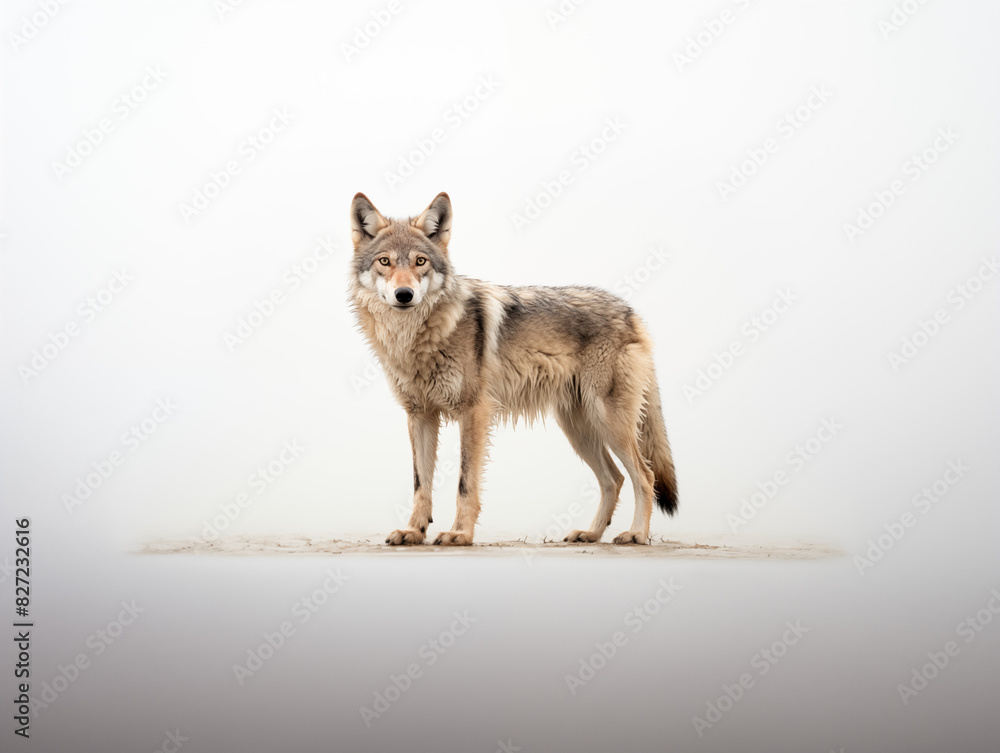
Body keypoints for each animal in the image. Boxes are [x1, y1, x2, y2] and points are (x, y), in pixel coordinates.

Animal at [349, 192, 678, 546]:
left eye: (420, 262)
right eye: (385, 262)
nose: (404, 294)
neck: (416, 336)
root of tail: (632, 313)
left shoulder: (474, 413)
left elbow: (465, 483)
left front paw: (460, 533)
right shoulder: (419, 416)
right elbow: (420, 484)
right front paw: (414, 531)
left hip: (608, 422)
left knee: (644, 475)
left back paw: (636, 534)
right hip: (579, 429)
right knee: (613, 478)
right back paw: (590, 534)